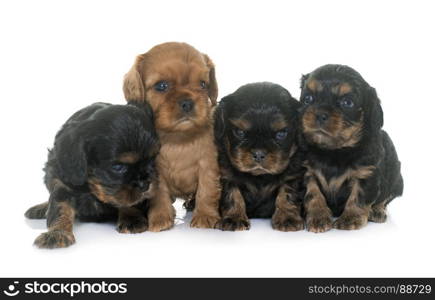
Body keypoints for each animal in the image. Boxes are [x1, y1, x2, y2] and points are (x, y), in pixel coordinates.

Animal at [25, 103, 158, 248]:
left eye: (152, 160)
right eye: (118, 167)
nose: (145, 184)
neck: (92, 187)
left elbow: (129, 201)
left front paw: (131, 218)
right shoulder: (62, 184)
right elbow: (60, 209)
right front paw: (58, 233)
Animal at [124, 42, 223, 231]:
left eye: (203, 84)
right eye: (161, 86)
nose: (187, 102)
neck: (178, 139)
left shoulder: (208, 165)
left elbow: (207, 190)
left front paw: (205, 216)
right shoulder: (156, 172)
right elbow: (159, 195)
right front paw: (160, 217)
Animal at [215, 83, 304, 231]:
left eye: (281, 134)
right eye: (240, 132)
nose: (258, 154)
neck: (259, 177)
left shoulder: (292, 175)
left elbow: (287, 194)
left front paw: (287, 218)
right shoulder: (226, 174)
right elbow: (232, 194)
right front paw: (234, 218)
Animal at [300, 63, 406, 232]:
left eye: (347, 103)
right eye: (308, 99)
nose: (320, 114)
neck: (334, 151)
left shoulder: (367, 173)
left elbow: (359, 197)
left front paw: (350, 218)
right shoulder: (307, 171)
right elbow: (313, 194)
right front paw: (318, 217)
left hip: (396, 180)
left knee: (384, 199)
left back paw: (377, 211)